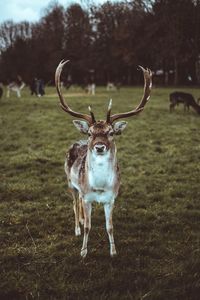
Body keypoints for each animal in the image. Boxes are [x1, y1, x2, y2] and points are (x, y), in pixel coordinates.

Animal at [54, 60, 152, 258]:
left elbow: (110, 227)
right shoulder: (87, 197)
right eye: (90, 133)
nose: (99, 146)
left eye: (111, 132)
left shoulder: (111, 198)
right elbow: (88, 227)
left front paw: (113, 252)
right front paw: (83, 252)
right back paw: (77, 228)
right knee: (75, 203)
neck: (98, 187)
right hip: (69, 181)